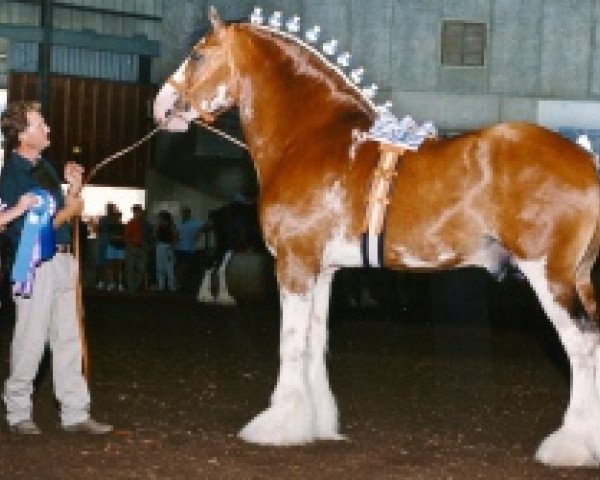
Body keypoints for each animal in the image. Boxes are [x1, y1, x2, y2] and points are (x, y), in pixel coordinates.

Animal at [154, 6, 600, 464]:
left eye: (197, 55)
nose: (162, 105)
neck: (312, 138)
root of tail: (586, 160)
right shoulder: (323, 269)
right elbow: (315, 340)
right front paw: (316, 422)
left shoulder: (294, 264)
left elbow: (291, 343)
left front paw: (278, 425)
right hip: (579, 277)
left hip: (549, 276)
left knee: (581, 346)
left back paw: (569, 445)